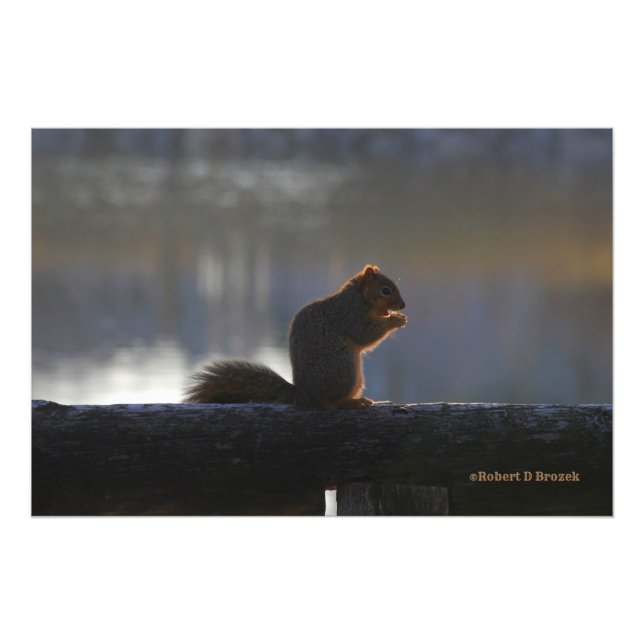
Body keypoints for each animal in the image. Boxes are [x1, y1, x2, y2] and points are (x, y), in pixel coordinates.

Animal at [183, 264, 407, 409]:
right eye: (385, 290)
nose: (403, 306)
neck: (359, 297)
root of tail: (304, 395)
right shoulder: (348, 314)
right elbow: (363, 334)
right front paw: (395, 320)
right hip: (344, 372)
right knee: (331, 402)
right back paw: (352, 402)